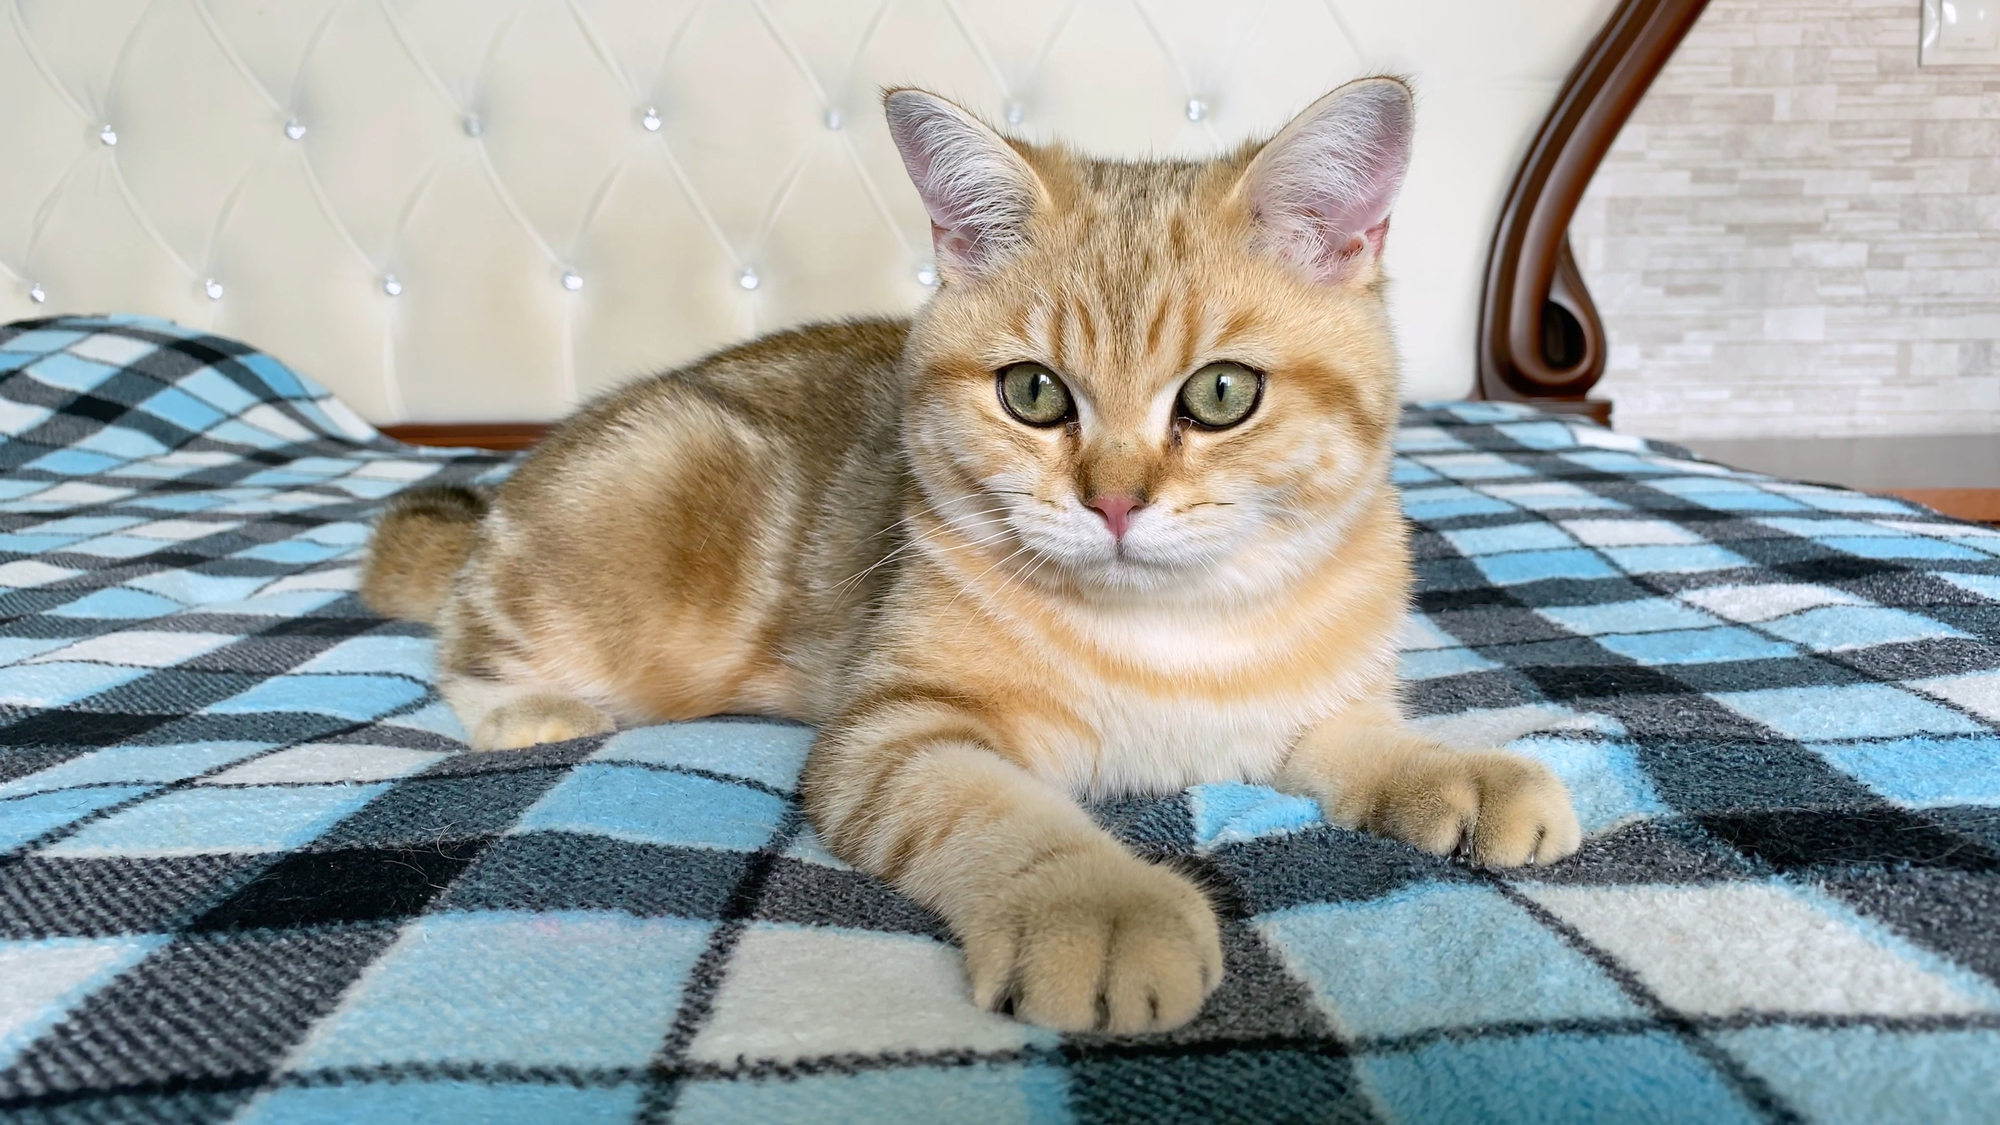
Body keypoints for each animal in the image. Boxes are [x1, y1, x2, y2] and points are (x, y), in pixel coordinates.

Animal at [360, 74, 1576, 1032]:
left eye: (1223, 393)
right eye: (1032, 393)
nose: (1114, 500)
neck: (1176, 630)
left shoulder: (1297, 706)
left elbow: (1356, 735)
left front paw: (1454, 767)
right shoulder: (898, 732)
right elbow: (999, 815)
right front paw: (1099, 908)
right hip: (648, 485)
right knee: (466, 634)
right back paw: (533, 707)